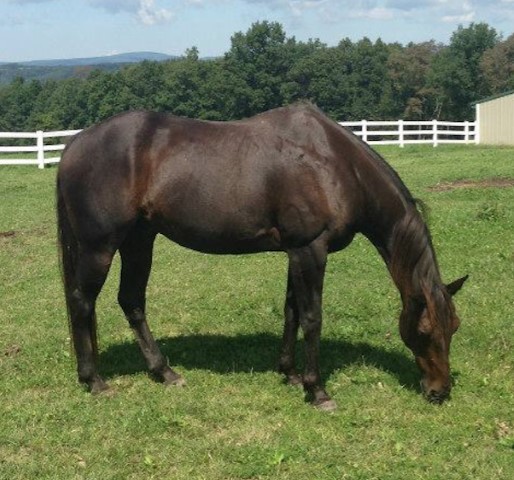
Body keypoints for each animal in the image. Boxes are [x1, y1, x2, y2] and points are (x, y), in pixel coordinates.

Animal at [56, 103, 464, 410]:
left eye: (455, 326)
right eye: (425, 331)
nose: (439, 391)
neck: (333, 163)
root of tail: (75, 144)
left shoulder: (296, 252)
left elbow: (292, 312)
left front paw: (290, 373)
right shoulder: (310, 250)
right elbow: (312, 318)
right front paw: (317, 390)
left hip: (139, 241)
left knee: (131, 301)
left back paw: (164, 372)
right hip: (99, 247)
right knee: (82, 302)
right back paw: (94, 379)